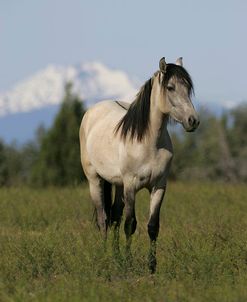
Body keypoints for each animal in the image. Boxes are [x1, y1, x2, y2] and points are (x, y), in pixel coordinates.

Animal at [79, 57, 199, 272]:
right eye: (170, 87)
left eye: (188, 88)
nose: (192, 121)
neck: (149, 142)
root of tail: (92, 112)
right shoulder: (131, 185)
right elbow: (130, 224)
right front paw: (128, 263)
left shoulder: (159, 186)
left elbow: (152, 226)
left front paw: (151, 267)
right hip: (95, 180)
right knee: (104, 220)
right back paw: (104, 256)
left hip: (118, 184)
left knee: (115, 217)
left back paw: (115, 257)